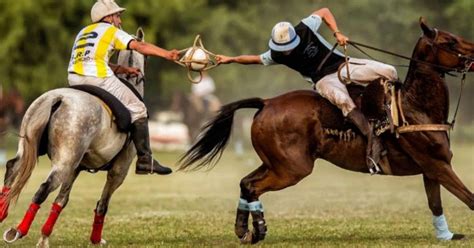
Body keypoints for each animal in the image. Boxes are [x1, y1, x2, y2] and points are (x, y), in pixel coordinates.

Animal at [0, 27, 146, 246]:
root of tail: (57, 99)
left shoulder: (77, 167)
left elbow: (61, 200)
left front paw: (44, 236)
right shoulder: (119, 169)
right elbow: (102, 204)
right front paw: (96, 239)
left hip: (32, 147)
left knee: (12, 168)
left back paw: (3, 214)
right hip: (65, 161)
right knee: (43, 188)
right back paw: (19, 230)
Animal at [179, 19, 474, 244]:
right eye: (450, 42)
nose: (473, 55)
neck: (415, 105)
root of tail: (266, 102)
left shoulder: (431, 169)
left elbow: (436, 203)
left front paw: (446, 236)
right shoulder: (437, 165)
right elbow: (470, 199)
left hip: (275, 162)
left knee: (245, 183)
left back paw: (245, 231)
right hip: (293, 168)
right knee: (252, 186)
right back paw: (257, 230)